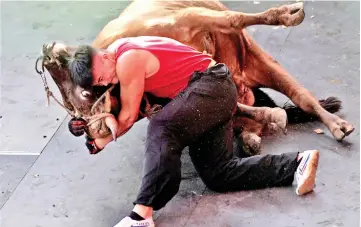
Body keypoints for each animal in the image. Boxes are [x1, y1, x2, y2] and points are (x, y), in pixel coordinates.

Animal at [38, 0, 352, 154]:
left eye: (83, 93)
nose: (48, 51)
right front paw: (270, 117)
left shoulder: (188, 18)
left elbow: (234, 19)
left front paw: (287, 14)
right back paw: (252, 136)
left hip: (254, 57)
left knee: (301, 95)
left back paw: (335, 124)